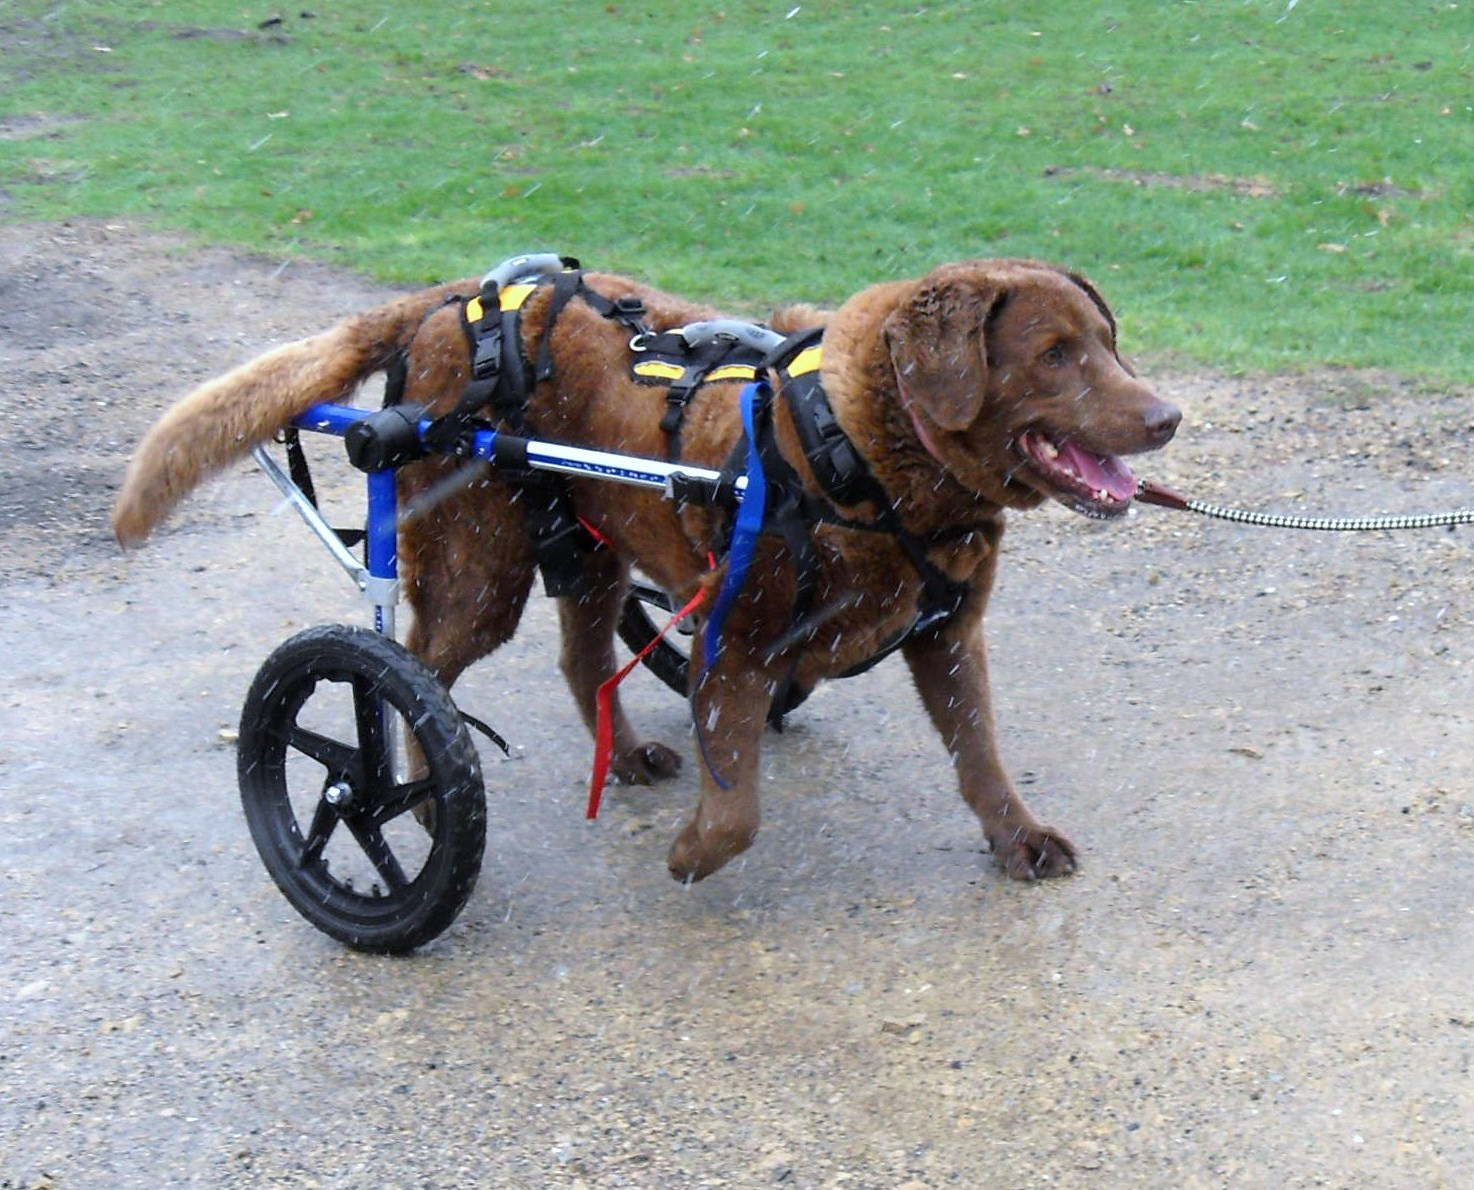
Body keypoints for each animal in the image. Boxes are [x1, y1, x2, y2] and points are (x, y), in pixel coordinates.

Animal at [112, 253, 1173, 884]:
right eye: (1054, 354)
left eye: (1110, 343)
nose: (1167, 416)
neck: (862, 456)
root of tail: (455, 299)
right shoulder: (732, 638)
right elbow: (737, 804)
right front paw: (694, 852)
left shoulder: (948, 636)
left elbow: (980, 752)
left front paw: (1017, 837)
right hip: (479, 568)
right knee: (410, 669)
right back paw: (408, 786)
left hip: (588, 553)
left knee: (581, 661)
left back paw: (618, 755)